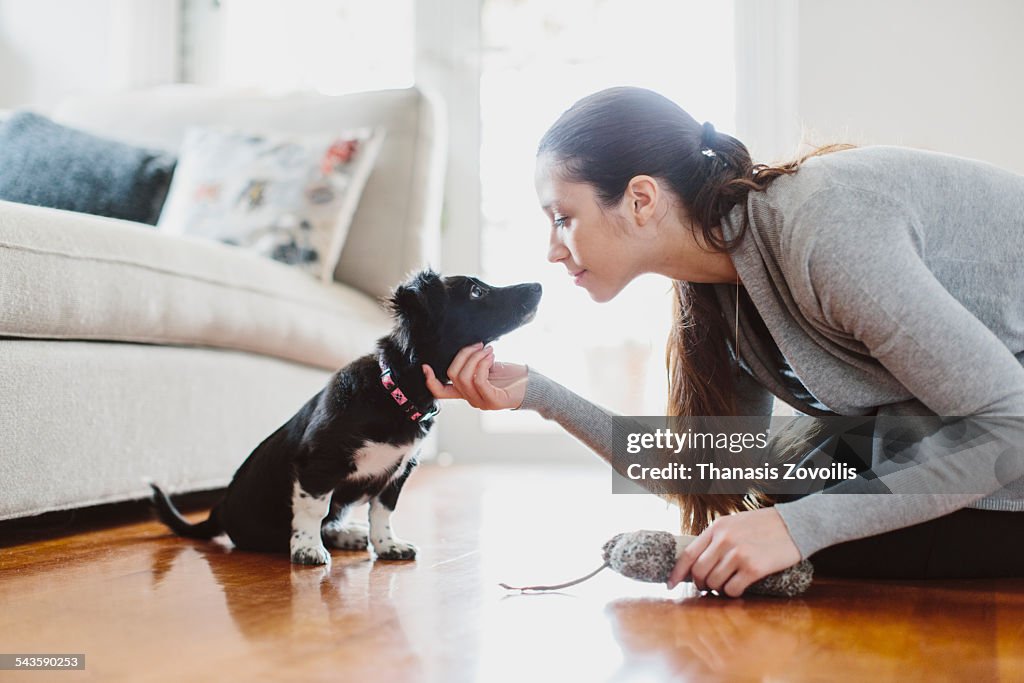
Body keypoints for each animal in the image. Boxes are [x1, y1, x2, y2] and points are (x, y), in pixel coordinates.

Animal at [151, 270, 544, 565]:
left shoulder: (399, 470)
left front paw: (387, 545)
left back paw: (349, 534)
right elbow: (312, 509)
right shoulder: (320, 463)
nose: (539, 286)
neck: (394, 390)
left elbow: (383, 511)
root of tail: (218, 511)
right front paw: (307, 549)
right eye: (477, 292)